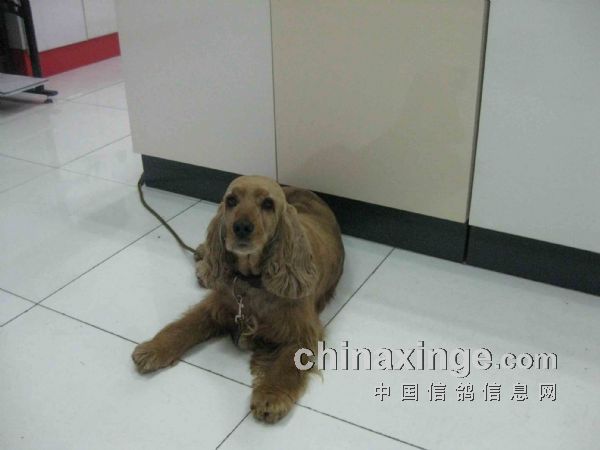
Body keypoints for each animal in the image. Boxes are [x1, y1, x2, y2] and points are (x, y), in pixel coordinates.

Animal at [132, 175, 344, 423]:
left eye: (268, 204)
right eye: (231, 200)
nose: (241, 227)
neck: (251, 281)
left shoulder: (302, 331)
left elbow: (286, 364)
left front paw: (271, 396)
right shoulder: (217, 305)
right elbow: (183, 326)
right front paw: (152, 349)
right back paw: (203, 261)